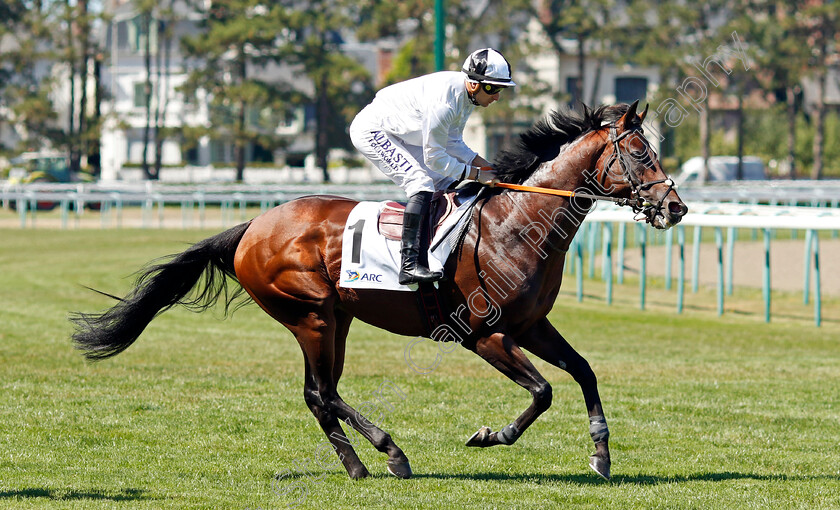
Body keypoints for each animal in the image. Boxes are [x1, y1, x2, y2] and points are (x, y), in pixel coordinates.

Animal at [72, 99, 684, 482]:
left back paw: (362, 465)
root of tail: (251, 228)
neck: (515, 223)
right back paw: (392, 452)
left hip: (334, 319)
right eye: (639, 153)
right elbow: (543, 391)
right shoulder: (483, 335)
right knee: (323, 393)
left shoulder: (531, 325)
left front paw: (601, 453)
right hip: (312, 316)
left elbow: (583, 372)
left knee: (317, 395)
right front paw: (491, 435)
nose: (675, 207)